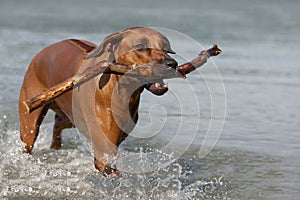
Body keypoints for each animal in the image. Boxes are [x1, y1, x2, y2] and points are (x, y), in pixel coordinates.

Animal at [18, 27, 178, 177]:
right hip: (30, 122)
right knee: (29, 139)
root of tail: (42, 52)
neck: (121, 89)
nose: (172, 63)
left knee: (58, 122)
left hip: (71, 115)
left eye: (166, 47)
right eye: (140, 46)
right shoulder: (104, 153)